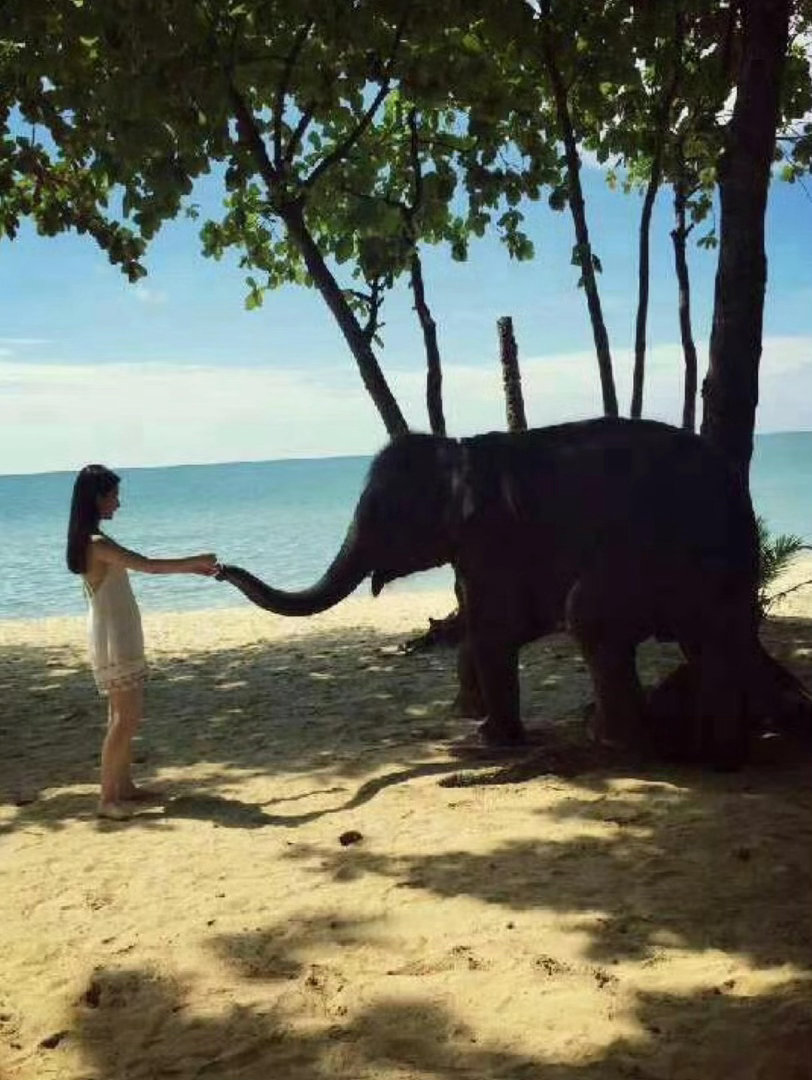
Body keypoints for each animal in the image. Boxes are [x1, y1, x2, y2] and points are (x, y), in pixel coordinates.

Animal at [216, 417, 765, 769]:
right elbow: (494, 625)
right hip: (726, 576)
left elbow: (495, 626)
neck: (460, 450)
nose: (219, 567)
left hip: (655, 557)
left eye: (382, 514)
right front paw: (478, 722)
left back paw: (615, 744)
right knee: (716, 642)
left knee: (590, 615)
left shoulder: (491, 535)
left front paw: (491, 740)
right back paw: (718, 753)